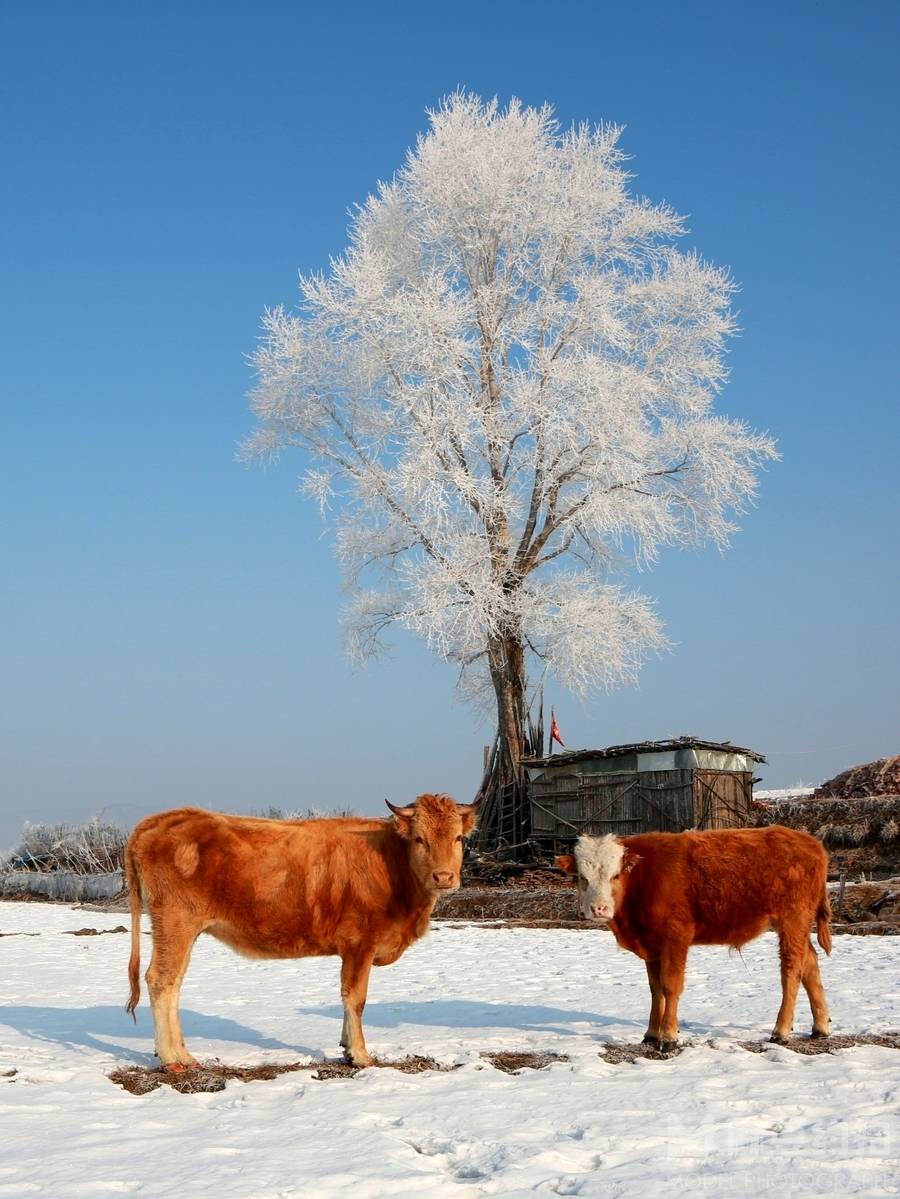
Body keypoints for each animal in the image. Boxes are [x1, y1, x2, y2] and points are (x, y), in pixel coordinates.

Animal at [127, 796, 481, 1069]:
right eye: (419, 838)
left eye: (458, 838)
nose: (443, 877)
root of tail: (160, 820)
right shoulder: (360, 943)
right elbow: (356, 998)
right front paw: (360, 1055)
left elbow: (347, 997)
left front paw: (345, 1047)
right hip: (175, 922)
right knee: (160, 980)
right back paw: (173, 1059)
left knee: (174, 983)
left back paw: (181, 1054)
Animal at [556, 829, 829, 1045]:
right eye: (582, 878)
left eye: (615, 875)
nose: (598, 908)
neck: (644, 878)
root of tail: (808, 841)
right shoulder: (652, 945)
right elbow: (655, 989)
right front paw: (651, 1033)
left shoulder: (676, 937)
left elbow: (670, 986)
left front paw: (668, 1036)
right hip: (796, 926)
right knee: (810, 963)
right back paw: (820, 1026)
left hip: (793, 921)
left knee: (791, 972)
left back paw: (781, 1030)